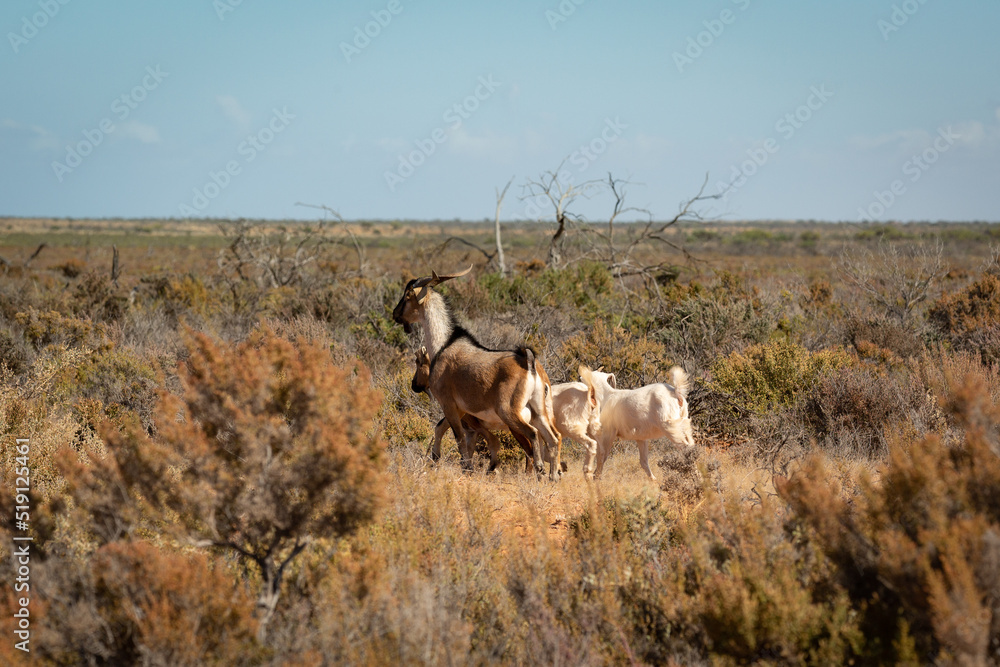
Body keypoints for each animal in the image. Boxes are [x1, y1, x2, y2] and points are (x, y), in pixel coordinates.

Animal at [393, 267, 563, 480]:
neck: (443, 345)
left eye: (407, 295)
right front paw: (438, 459)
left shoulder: (449, 404)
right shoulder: (462, 410)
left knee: (532, 434)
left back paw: (540, 468)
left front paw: (467, 467)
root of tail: (529, 362)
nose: (395, 314)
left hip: (509, 411)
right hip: (539, 409)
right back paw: (554, 476)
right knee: (554, 437)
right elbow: (447, 431)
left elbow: (458, 438)